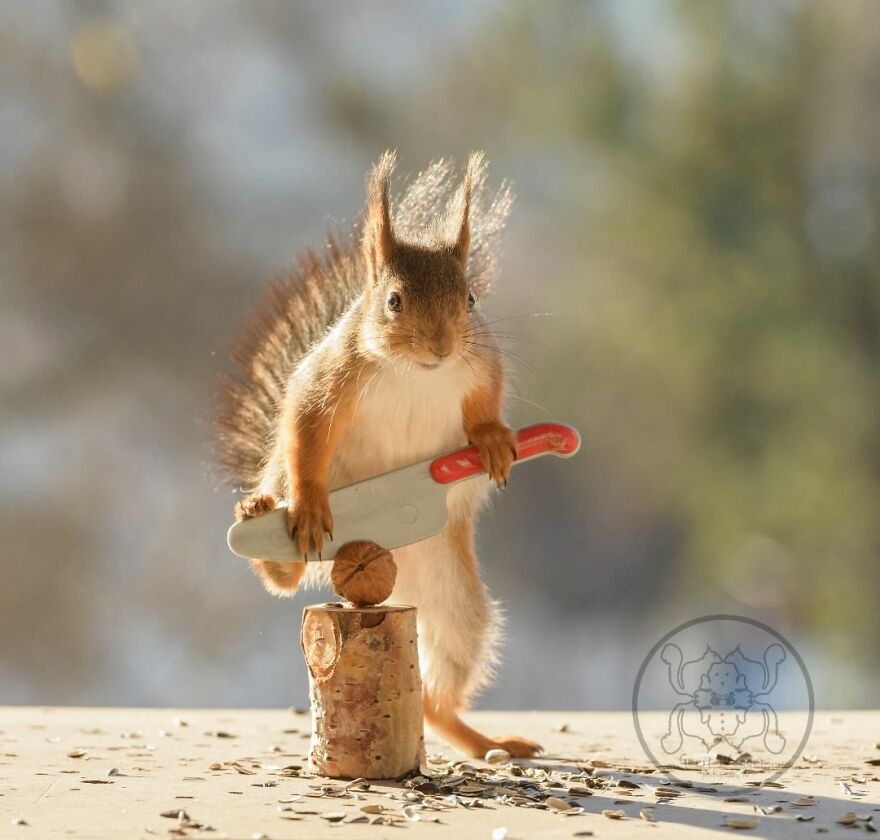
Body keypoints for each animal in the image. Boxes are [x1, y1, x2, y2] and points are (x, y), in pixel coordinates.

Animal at [216, 151, 541, 758]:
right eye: (393, 301)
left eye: (470, 299)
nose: (441, 346)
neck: (418, 372)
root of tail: (391, 564)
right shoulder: (329, 382)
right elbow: (305, 430)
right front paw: (310, 502)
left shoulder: (482, 363)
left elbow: (487, 403)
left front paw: (490, 439)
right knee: (285, 576)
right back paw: (263, 520)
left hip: (459, 608)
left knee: (439, 696)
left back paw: (486, 739)